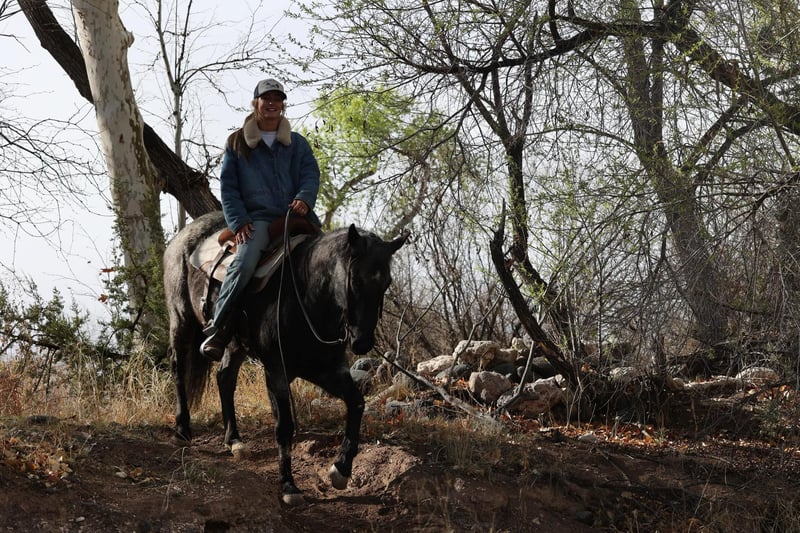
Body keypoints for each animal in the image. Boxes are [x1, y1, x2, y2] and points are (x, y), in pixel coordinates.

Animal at [163, 211, 407, 505]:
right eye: (356, 280)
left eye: (386, 283)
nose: (362, 342)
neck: (307, 297)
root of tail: (182, 238)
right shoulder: (276, 371)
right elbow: (284, 426)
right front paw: (289, 485)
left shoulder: (328, 370)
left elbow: (357, 403)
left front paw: (341, 469)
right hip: (182, 323)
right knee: (178, 370)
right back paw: (182, 429)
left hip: (235, 345)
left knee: (224, 378)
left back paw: (234, 440)